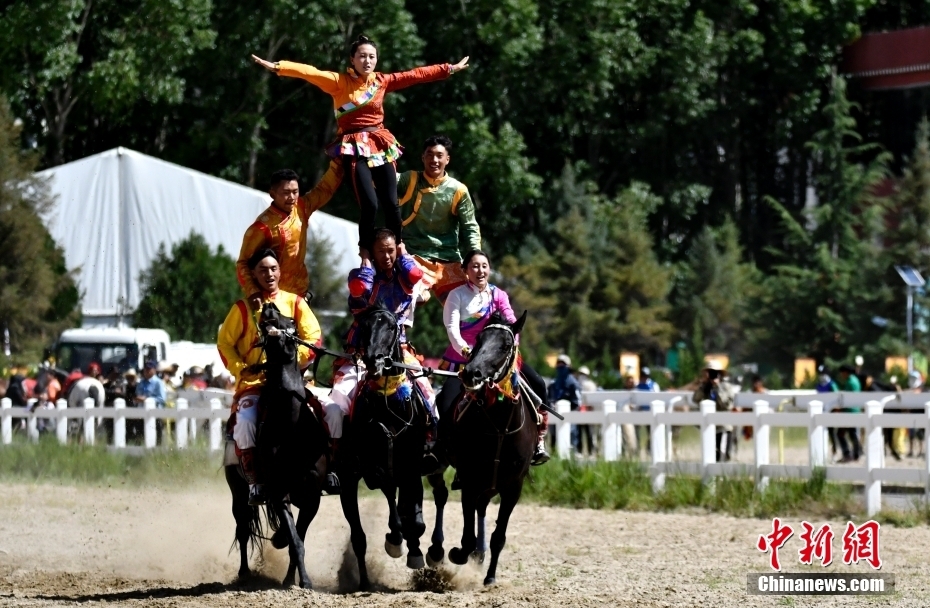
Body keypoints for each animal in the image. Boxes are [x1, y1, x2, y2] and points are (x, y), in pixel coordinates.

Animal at [223, 304, 328, 588]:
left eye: (291, 320)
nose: (269, 307)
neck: (290, 427)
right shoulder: (279, 491)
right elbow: (295, 540)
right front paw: (303, 580)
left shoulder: (312, 495)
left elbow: (297, 538)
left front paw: (295, 579)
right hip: (238, 491)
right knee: (243, 528)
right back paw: (244, 573)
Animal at [338, 302, 432, 592]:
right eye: (365, 326)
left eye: (391, 327)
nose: (375, 360)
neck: (390, 405)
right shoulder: (372, 467)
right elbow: (391, 497)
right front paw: (396, 540)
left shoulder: (412, 465)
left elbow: (415, 518)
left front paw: (414, 551)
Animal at [438, 312, 532, 588]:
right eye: (478, 341)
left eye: (505, 345)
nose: (471, 373)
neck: (500, 426)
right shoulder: (469, 479)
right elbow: (466, 536)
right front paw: (458, 554)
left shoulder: (513, 487)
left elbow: (499, 536)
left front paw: (490, 576)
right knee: (440, 496)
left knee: (480, 507)